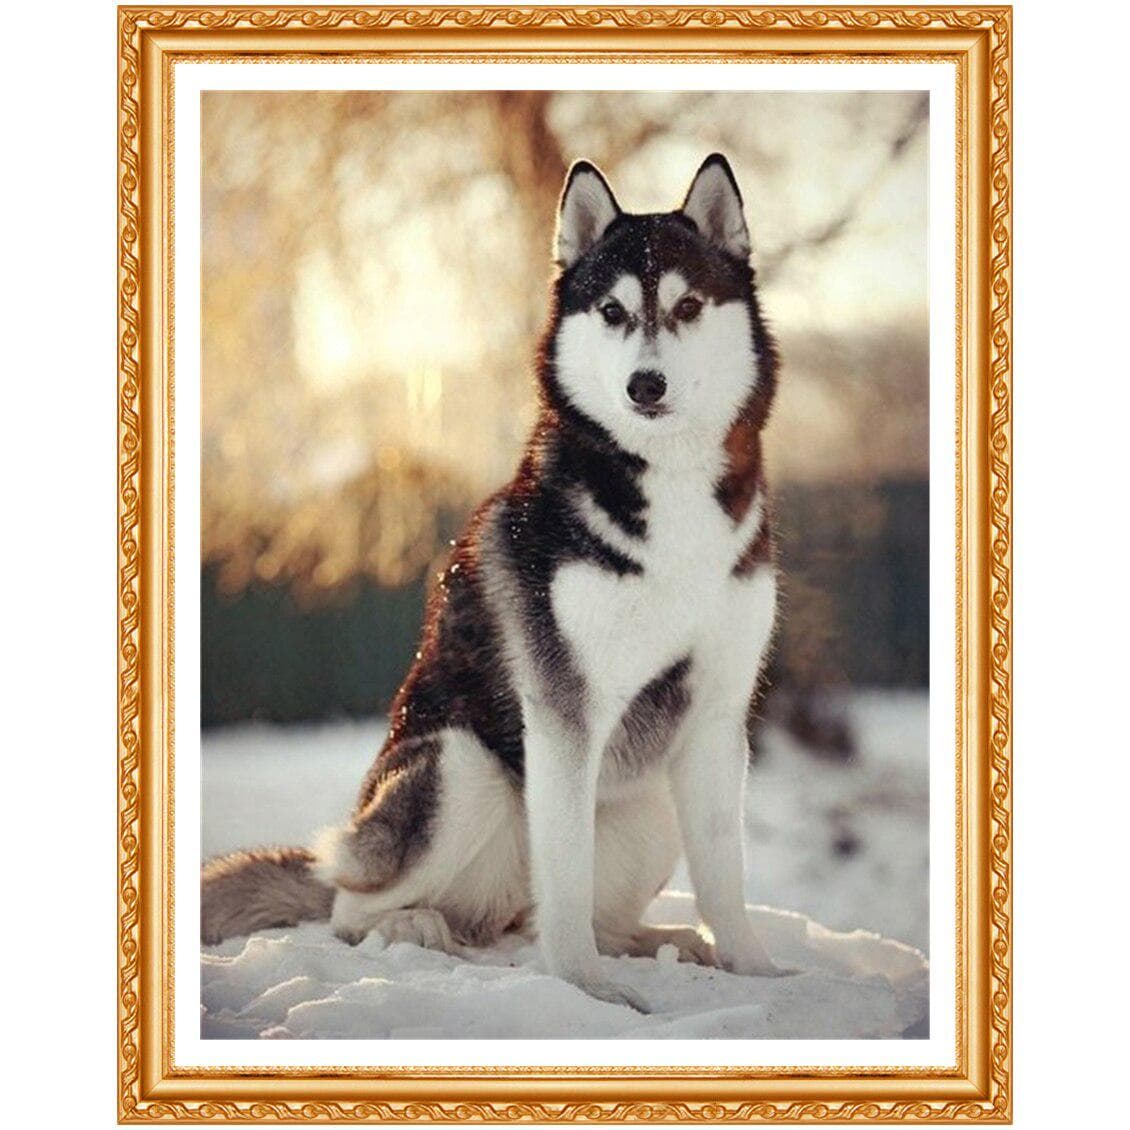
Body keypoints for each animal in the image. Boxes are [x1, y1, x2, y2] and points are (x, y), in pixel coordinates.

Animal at [201, 154, 787, 1011]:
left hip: (648, 804)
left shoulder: (717, 713)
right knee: (353, 907)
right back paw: (416, 927)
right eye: (612, 311)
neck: (669, 491)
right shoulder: (564, 712)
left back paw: (662, 943)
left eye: (686, 306)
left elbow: (725, 877)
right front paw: (585, 991)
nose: (645, 386)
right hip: (460, 769)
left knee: (560, 913)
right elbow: (565, 880)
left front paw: (758, 971)